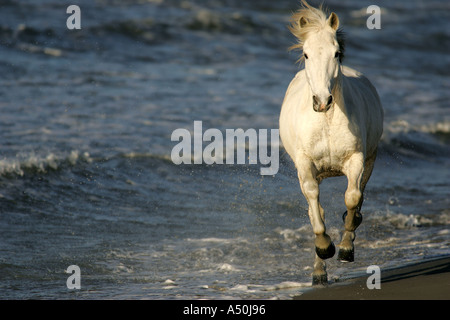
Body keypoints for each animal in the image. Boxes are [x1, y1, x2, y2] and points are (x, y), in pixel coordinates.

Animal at [280, 1, 382, 284]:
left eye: (336, 53)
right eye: (305, 55)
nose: (322, 101)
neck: (326, 120)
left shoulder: (356, 159)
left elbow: (352, 198)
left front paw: (345, 249)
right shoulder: (305, 164)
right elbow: (315, 206)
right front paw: (325, 247)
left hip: (370, 161)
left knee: (358, 198)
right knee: (316, 208)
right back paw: (318, 273)